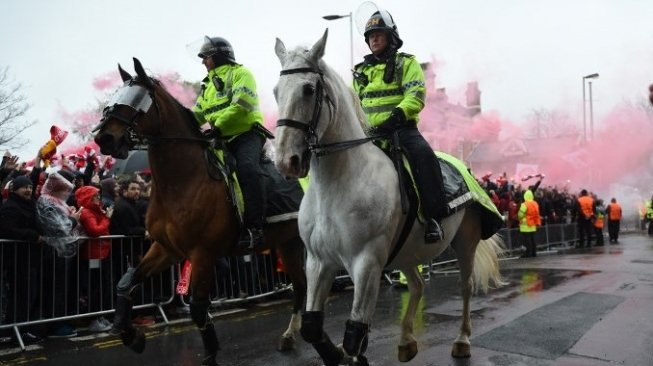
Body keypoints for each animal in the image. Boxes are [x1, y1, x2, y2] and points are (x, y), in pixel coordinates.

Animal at [93, 58, 306, 364]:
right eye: (115, 97)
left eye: (136, 99)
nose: (105, 138)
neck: (183, 180)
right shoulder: (166, 248)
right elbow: (127, 281)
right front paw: (130, 333)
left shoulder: (202, 254)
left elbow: (198, 307)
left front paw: (210, 353)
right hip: (289, 243)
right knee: (300, 286)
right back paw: (290, 336)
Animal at [272, 30, 502, 364]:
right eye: (277, 91)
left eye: (308, 89)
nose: (285, 161)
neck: (337, 185)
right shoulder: (318, 262)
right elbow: (313, 327)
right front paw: (338, 353)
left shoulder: (366, 262)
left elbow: (355, 329)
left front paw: (351, 354)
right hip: (407, 252)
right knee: (417, 285)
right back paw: (406, 341)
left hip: (465, 242)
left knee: (466, 286)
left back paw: (462, 340)